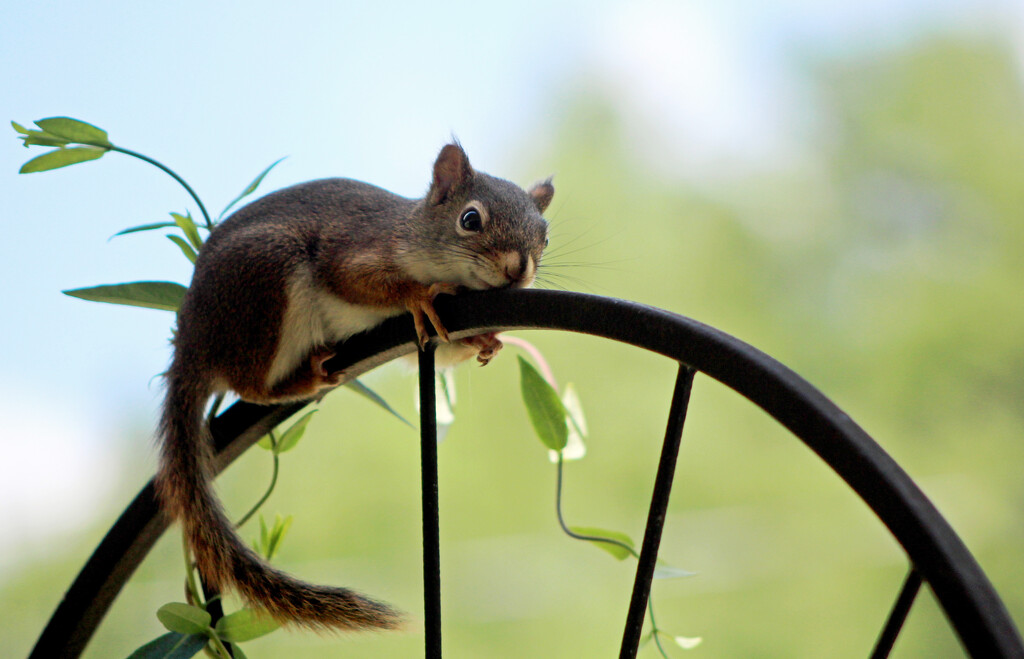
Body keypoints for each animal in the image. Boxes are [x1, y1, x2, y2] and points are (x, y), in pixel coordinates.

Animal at [154, 145, 552, 634]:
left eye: (545, 237)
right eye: (470, 219)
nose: (518, 271)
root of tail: (190, 346)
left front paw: (484, 340)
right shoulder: (354, 248)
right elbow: (361, 280)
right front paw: (420, 293)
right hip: (265, 279)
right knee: (248, 384)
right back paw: (306, 377)